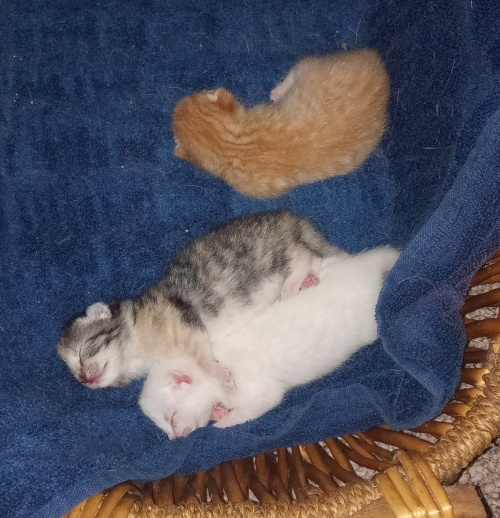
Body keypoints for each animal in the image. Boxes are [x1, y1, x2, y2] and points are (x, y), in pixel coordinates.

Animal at [59, 211, 340, 390]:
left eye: (82, 353)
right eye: (74, 371)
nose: (84, 379)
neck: (135, 333)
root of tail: (290, 218)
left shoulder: (182, 322)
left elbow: (203, 359)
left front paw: (222, 378)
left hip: (270, 255)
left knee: (301, 255)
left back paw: (291, 286)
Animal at [139, 245, 400, 438]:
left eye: (171, 418)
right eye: (164, 424)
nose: (175, 438)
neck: (211, 366)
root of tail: (368, 267)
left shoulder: (255, 389)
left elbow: (257, 405)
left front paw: (224, 422)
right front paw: (218, 412)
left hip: (370, 322)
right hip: (331, 264)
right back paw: (307, 281)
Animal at [173, 48, 390, 199]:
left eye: (205, 90)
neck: (236, 145)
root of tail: (376, 63)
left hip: (315, 70)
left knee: (301, 66)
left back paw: (278, 91)